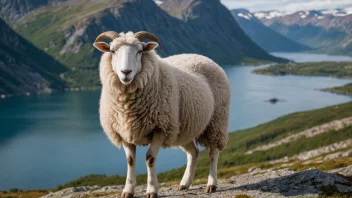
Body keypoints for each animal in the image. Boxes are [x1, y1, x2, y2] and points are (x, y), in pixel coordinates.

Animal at [93, 31, 231, 198]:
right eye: (112, 51)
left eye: (140, 51)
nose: (126, 72)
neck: (127, 107)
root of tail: (202, 56)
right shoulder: (123, 132)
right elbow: (130, 160)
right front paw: (128, 190)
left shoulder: (160, 128)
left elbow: (150, 158)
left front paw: (152, 189)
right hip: (183, 129)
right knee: (194, 153)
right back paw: (185, 183)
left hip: (216, 122)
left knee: (213, 153)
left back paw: (212, 184)